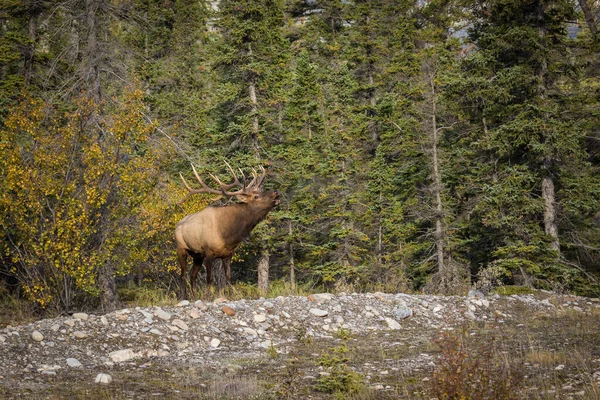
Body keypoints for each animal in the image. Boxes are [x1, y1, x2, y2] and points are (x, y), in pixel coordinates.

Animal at [172, 162, 278, 296]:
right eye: (256, 196)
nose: (276, 192)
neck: (228, 235)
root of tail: (178, 225)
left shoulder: (228, 255)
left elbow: (228, 278)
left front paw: (232, 295)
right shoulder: (209, 253)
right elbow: (210, 279)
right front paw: (208, 296)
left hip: (197, 255)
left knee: (192, 275)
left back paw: (193, 296)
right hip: (181, 248)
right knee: (183, 275)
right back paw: (184, 296)